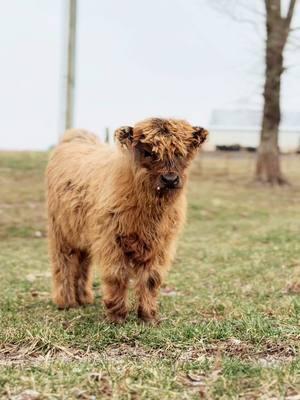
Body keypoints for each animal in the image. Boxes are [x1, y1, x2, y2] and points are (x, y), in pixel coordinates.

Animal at [45, 117, 207, 324]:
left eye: (180, 153)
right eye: (148, 152)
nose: (170, 179)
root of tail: (76, 138)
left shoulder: (161, 246)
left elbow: (151, 279)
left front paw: (148, 316)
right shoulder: (110, 241)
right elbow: (117, 275)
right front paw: (117, 316)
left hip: (82, 234)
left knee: (82, 264)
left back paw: (83, 298)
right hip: (60, 232)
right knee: (63, 263)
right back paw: (66, 302)